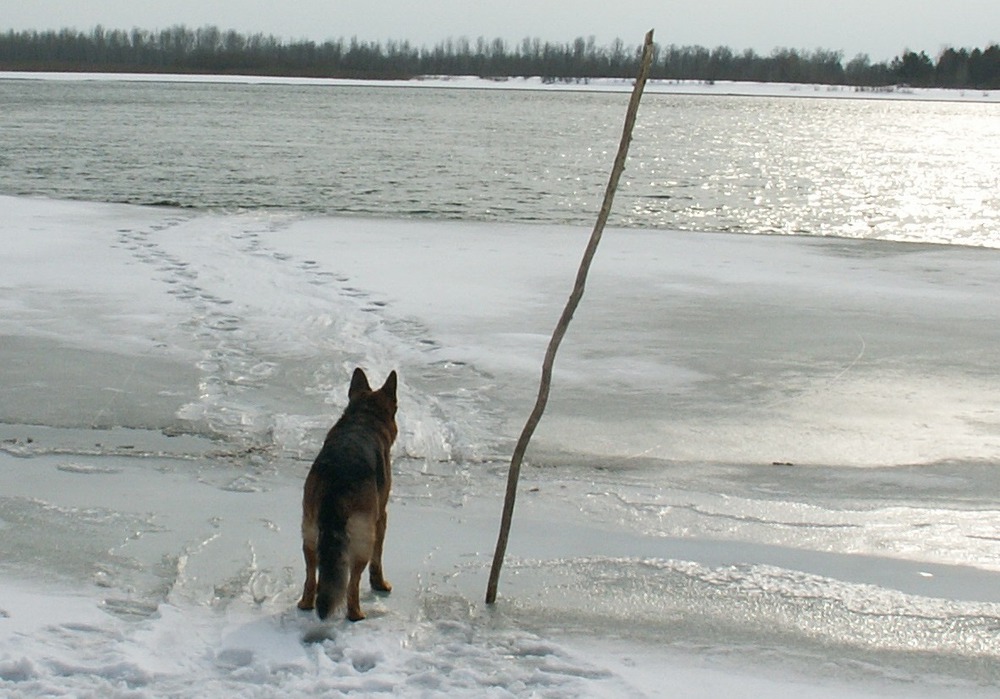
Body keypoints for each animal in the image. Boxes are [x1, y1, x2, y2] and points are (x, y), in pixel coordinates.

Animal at [294, 370, 396, 620]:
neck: (363, 418)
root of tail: (338, 476)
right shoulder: (381, 518)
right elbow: (377, 560)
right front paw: (379, 584)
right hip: (362, 538)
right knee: (353, 582)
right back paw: (356, 613)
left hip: (309, 532)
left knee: (311, 574)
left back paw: (307, 603)